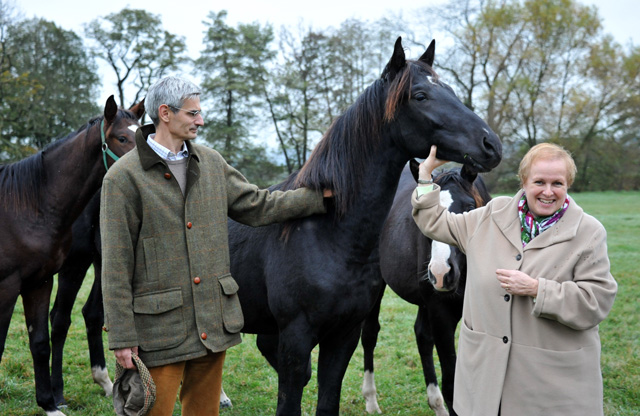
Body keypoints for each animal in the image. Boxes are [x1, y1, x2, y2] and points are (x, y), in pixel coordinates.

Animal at [0, 97, 144, 416]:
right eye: (122, 138)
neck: (29, 205)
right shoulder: (9, 285)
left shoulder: (39, 281)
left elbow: (40, 341)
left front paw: (49, 404)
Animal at [360, 164, 490, 414]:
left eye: (469, 208)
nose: (440, 274)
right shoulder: (440, 312)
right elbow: (451, 385)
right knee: (370, 334)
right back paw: (371, 400)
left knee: (421, 336)